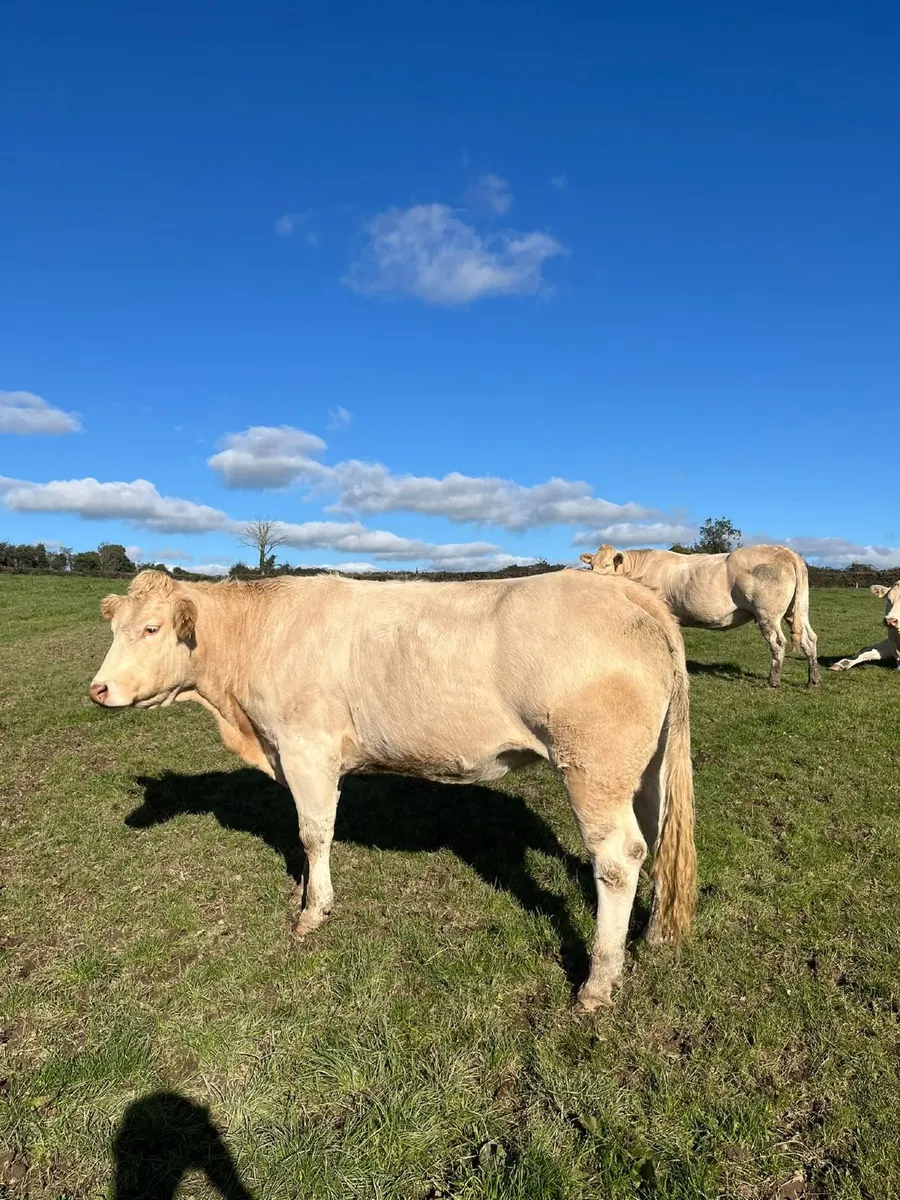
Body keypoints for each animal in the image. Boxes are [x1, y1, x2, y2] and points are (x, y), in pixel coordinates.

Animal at [89, 568, 697, 1011]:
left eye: (152, 629)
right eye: (116, 629)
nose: (98, 689)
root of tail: (620, 588)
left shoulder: (307, 749)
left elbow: (314, 833)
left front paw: (313, 910)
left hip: (592, 766)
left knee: (618, 858)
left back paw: (598, 981)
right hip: (643, 768)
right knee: (656, 837)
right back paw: (649, 934)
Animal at [579, 544, 819, 689]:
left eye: (607, 565)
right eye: (590, 565)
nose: (592, 580)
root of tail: (786, 551)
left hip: (767, 613)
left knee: (778, 642)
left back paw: (774, 681)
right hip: (797, 610)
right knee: (810, 639)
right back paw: (813, 679)